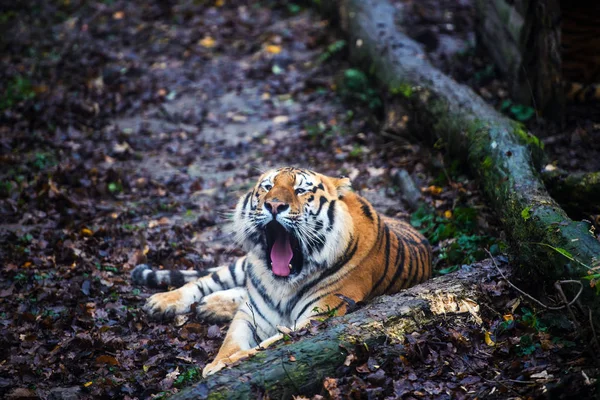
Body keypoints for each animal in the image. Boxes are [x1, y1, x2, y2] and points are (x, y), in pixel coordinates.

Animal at [131, 166, 432, 378]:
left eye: (300, 191)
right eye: (267, 187)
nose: (274, 205)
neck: (282, 283)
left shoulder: (315, 320)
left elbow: (264, 346)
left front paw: (221, 366)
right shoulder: (250, 313)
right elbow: (231, 341)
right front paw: (218, 362)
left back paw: (208, 307)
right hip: (242, 265)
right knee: (207, 282)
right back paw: (163, 302)